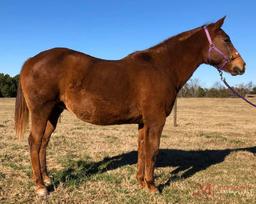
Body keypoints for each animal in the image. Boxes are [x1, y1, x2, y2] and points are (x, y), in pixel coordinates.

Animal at [14, 17, 246, 196]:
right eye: (226, 39)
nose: (242, 66)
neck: (162, 67)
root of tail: (31, 60)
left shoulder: (144, 122)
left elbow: (142, 149)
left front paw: (141, 181)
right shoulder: (156, 121)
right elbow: (153, 150)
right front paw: (152, 187)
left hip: (53, 113)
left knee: (44, 142)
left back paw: (47, 179)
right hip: (41, 111)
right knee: (34, 142)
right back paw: (40, 187)